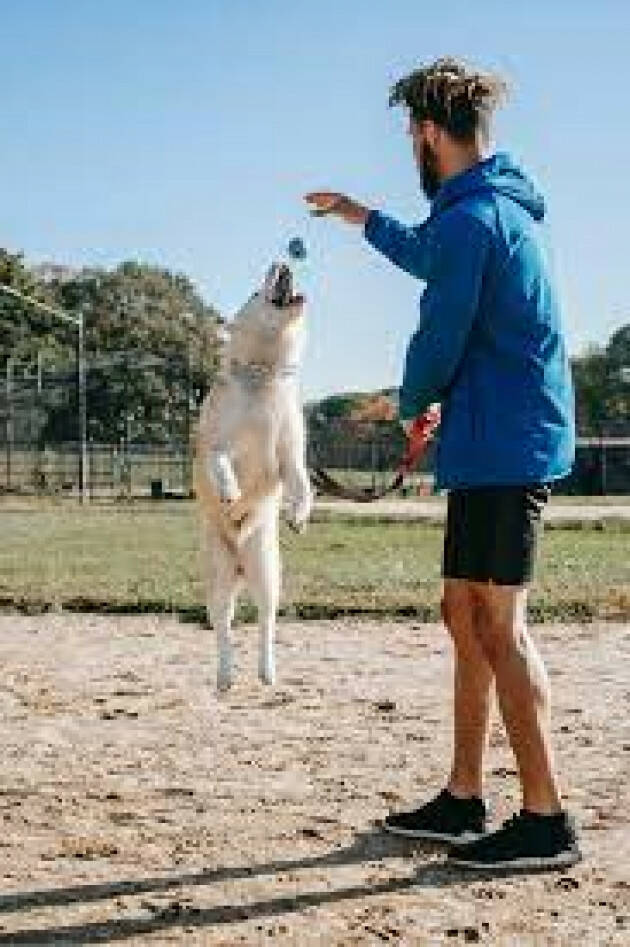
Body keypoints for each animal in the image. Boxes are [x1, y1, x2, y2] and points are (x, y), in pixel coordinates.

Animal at [193, 262, 312, 692]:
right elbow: (220, 463)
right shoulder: (217, 445)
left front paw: (298, 514)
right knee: (223, 628)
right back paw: (225, 676)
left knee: (265, 621)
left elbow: (302, 482)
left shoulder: (289, 456)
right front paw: (230, 491)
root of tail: (242, 567)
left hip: (267, 572)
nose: (283, 262)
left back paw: (267, 671)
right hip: (218, 577)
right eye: (254, 292)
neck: (264, 374)